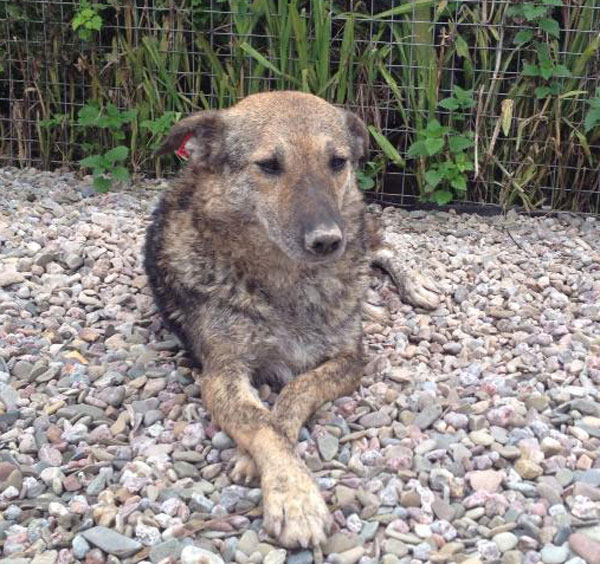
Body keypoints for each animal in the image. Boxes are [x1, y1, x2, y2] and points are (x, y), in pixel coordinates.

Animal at [143, 91, 438, 548]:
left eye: (337, 161)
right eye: (268, 165)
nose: (327, 241)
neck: (288, 280)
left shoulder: (349, 359)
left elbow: (296, 394)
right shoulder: (222, 372)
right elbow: (264, 423)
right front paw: (293, 495)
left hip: (357, 223)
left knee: (381, 246)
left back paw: (405, 286)